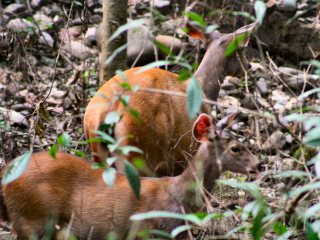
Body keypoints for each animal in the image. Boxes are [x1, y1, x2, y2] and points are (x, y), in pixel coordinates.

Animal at [1, 113, 260, 239]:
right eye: (236, 148)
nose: (258, 165)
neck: (178, 198)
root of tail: (5, 173)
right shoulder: (143, 229)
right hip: (31, 218)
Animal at [84, 23, 256, 176]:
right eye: (241, 49)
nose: (248, 65)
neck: (204, 91)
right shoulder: (188, 151)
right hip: (140, 153)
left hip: (99, 153)